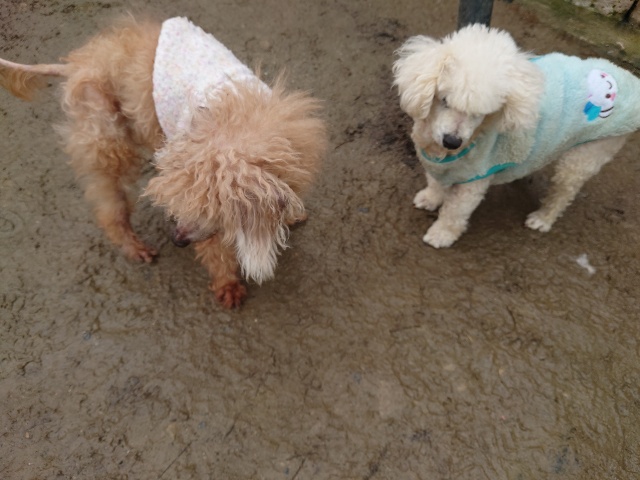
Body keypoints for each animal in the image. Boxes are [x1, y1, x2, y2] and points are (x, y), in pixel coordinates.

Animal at [0, 17, 327, 308]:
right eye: (187, 206)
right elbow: (216, 252)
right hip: (107, 139)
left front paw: (290, 216)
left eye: (215, 211)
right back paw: (134, 246)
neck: (237, 119)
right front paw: (228, 285)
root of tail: (78, 63)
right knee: (109, 205)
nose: (177, 240)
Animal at [393, 24, 640, 248]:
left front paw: (442, 235)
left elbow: (455, 211)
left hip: (585, 156)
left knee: (564, 193)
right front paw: (430, 198)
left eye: (481, 114)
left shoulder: (474, 180)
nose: (452, 142)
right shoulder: (440, 164)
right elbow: (436, 182)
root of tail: (628, 78)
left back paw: (543, 219)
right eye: (444, 100)